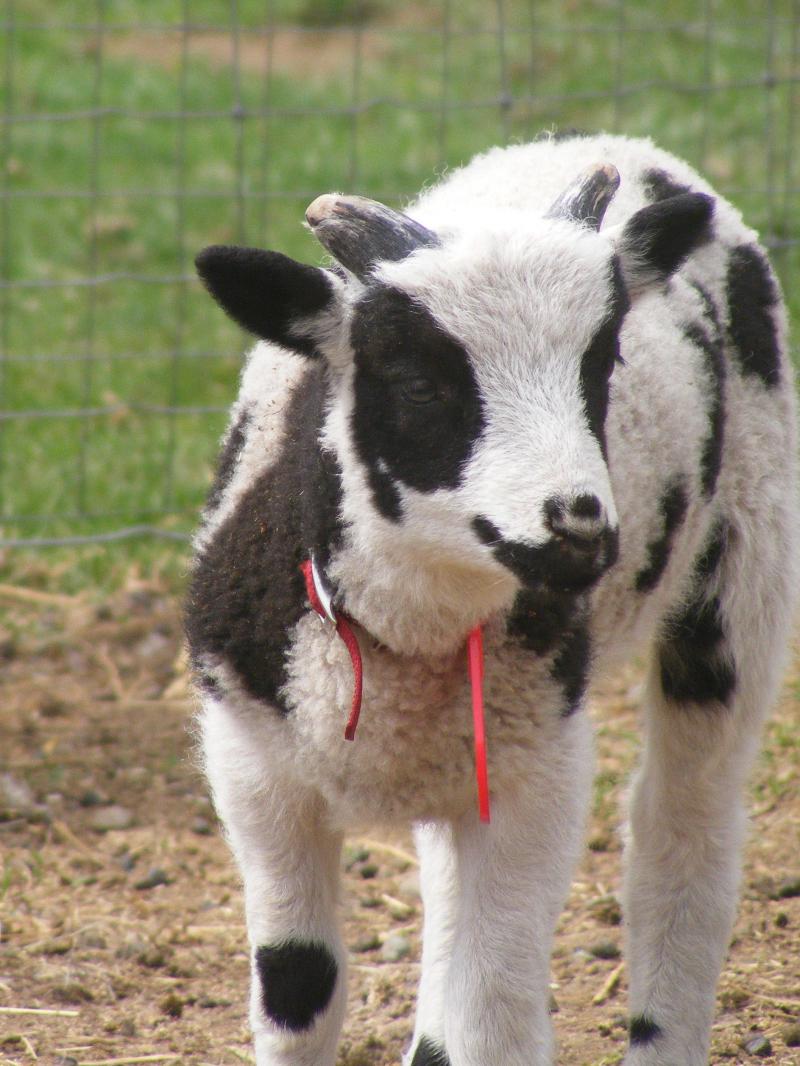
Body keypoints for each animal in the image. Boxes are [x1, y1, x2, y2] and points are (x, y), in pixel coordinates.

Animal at [185, 131, 798, 1066]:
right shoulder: (256, 769)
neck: (413, 623)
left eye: (603, 362)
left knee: (681, 831)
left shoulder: (539, 770)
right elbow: (298, 992)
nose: (581, 527)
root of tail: (609, 140)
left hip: (744, 562)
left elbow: (497, 1014)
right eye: (415, 380)